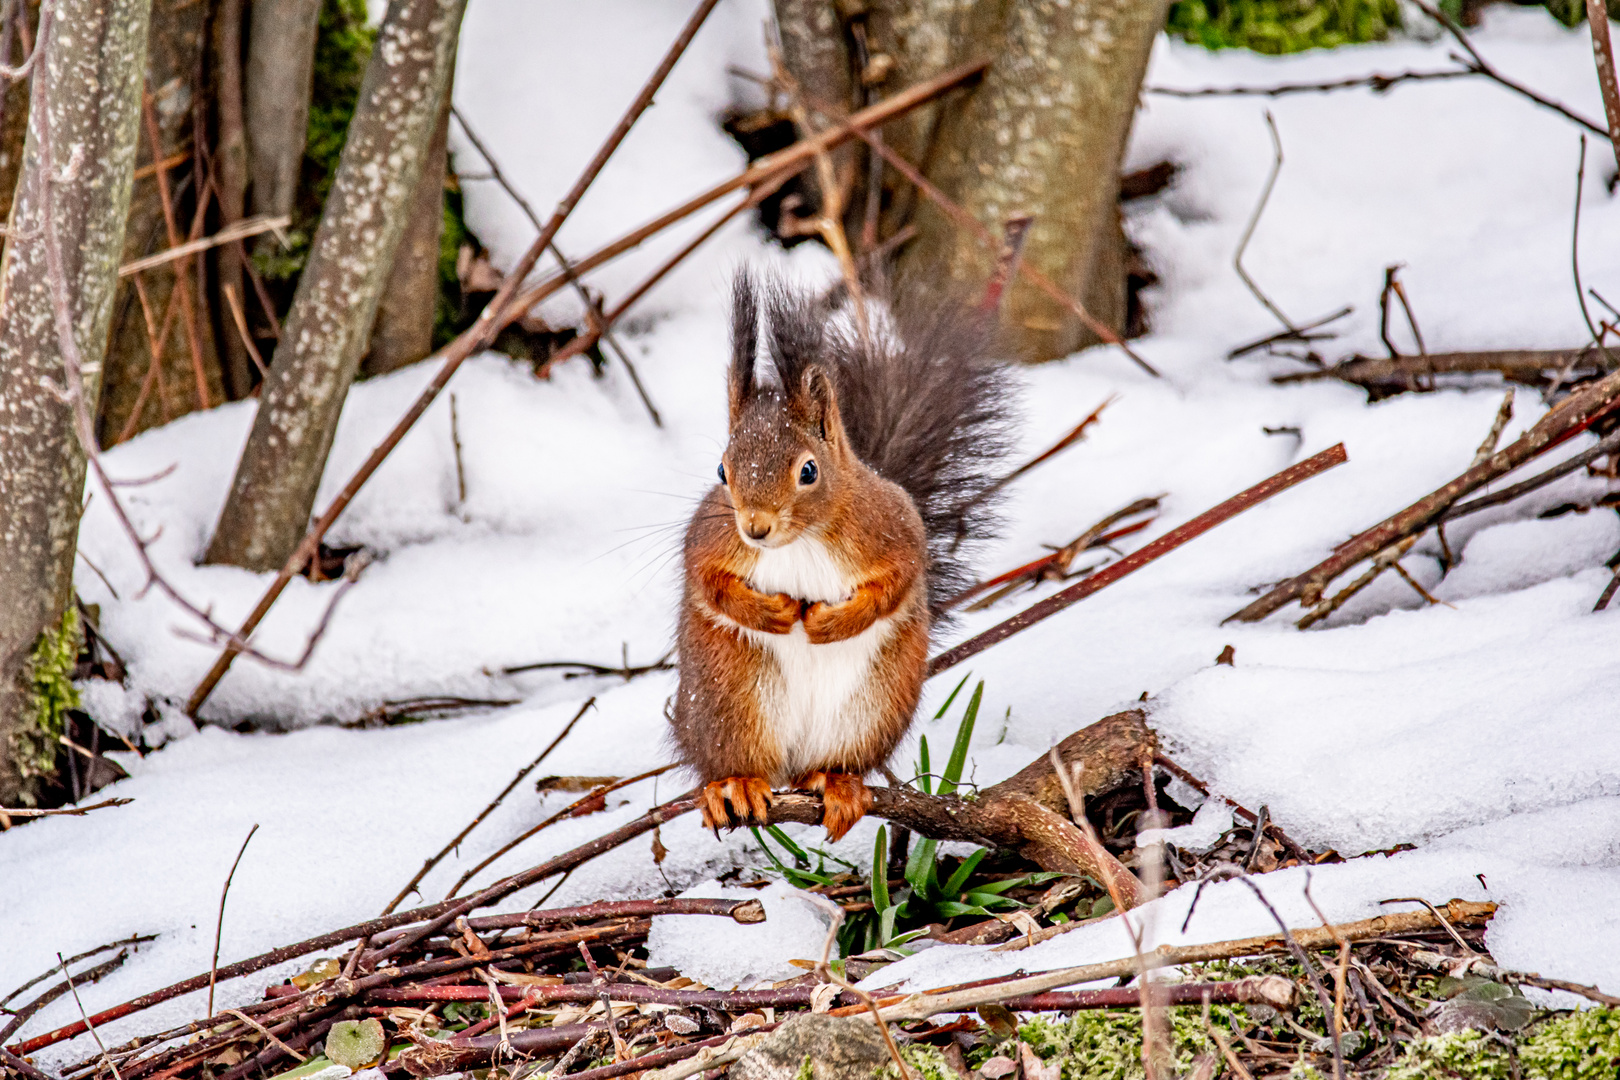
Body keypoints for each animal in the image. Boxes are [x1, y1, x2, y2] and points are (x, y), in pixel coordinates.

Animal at [670, 275, 1010, 841]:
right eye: (722, 471)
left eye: (808, 471)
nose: (755, 528)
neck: (801, 540)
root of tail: (789, 765)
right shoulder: (708, 538)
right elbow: (707, 580)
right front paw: (767, 610)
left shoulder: (894, 530)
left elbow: (897, 581)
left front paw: (835, 621)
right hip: (730, 702)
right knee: (731, 762)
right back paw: (734, 785)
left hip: (870, 709)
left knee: (831, 763)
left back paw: (836, 783)